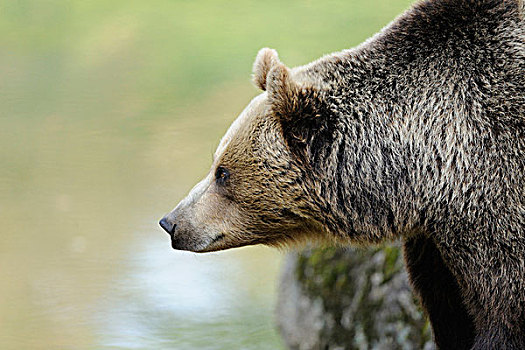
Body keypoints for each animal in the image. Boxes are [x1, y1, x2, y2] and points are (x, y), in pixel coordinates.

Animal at [160, 1, 524, 348]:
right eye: (216, 163)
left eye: (222, 172)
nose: (171, 222)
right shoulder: (434, 246)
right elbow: (450, 316)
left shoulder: (495, 201)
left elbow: (503, 317)